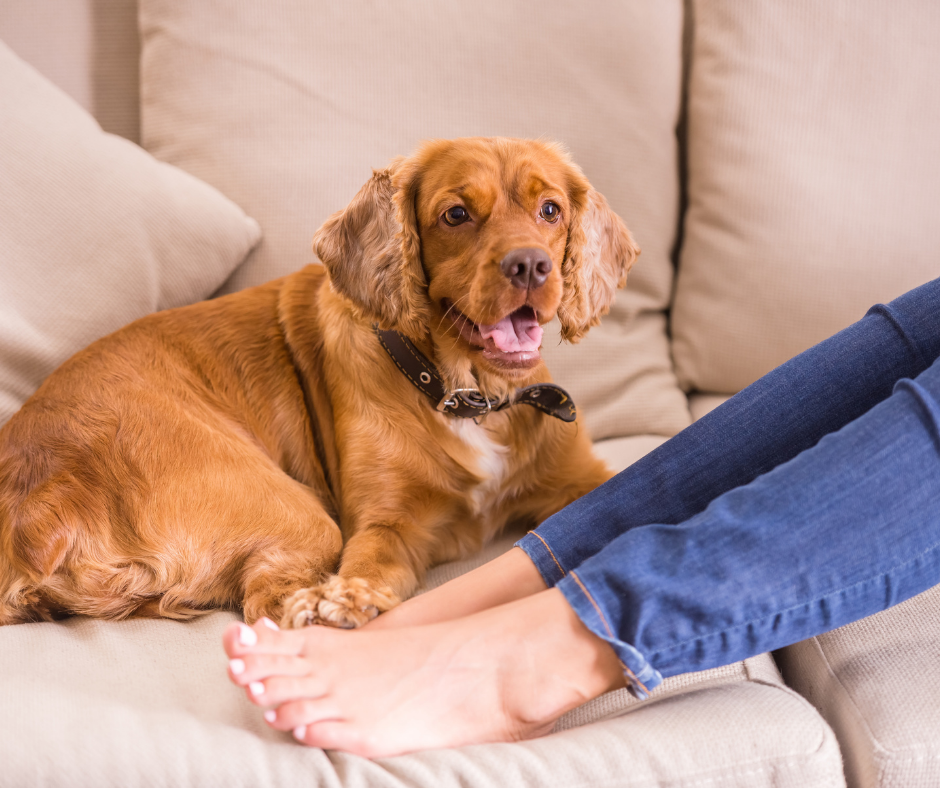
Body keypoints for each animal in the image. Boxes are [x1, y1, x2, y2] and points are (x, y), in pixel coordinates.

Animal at [0, 135, 640, 628]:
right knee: (267, 601)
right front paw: (350, 597)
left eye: (551, 210)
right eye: (456, 214)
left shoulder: (582, 480)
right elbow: (368, 562)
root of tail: (39, 503)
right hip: (299, 514)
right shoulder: (388, 523)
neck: (471, 396)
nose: (530, 265)